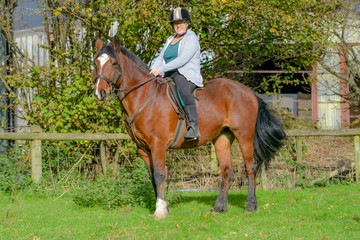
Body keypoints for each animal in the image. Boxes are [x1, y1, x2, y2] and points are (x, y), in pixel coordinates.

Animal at [93, 36, 286, 219]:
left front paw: (160, 211)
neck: (144, 96)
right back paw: (219, 208)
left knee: (250, 168)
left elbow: (160, 175)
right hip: (222, 138)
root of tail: (249, 92)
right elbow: (153, 177)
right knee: (226, 171)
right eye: (95, 63)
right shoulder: (142, 148)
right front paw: (165, 207)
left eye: (114, 63)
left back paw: (251, 206)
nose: (99, 93)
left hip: (244, 135)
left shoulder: (158, 145)